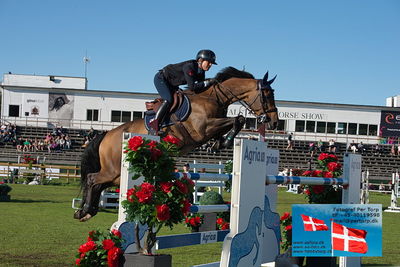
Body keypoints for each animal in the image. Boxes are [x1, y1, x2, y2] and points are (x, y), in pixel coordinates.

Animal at [73, 67, 276, 222]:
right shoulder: (204, 128)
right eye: (267, 94)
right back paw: (86, 210)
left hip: (116, 175)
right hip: (113, 170)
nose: (273, 121)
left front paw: (219, 143)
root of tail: (106, 135)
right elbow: (238, 118)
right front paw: (223, 141)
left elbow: (235, 121)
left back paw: (86, 211)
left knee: (98, 184)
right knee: (92, 179)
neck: (213, 98)